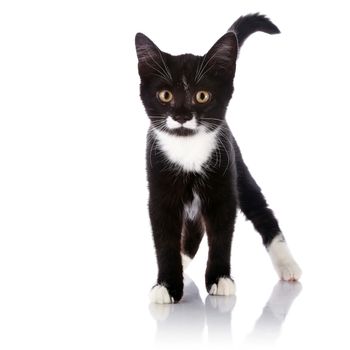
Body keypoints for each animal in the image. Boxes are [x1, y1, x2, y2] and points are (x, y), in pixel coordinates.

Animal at [134, 13, 300, 304]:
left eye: (202, 96)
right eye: (165, 95)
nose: (181, 115)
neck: (188, 150)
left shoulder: (223, 188)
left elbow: (222, 236)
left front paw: (220, 279)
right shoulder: (160, 190)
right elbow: (164, 240)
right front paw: (167, 284)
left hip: (239, 170)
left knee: (263, 212)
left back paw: (288, 265)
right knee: (191, 234)